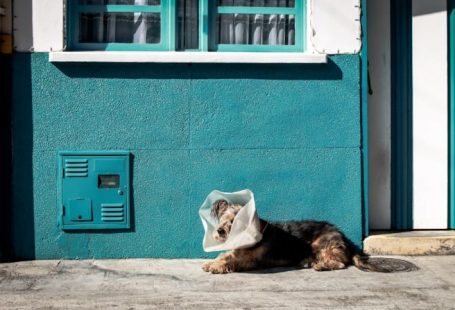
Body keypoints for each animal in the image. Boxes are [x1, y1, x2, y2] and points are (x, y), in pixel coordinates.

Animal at [203, 199, 420, 274]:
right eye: (223, 219)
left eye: (234, 222)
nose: (219, 231)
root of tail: (346, 240)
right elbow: (226, 254)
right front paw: (212, 262)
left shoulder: (248, 258)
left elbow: (231, 258)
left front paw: (215, 266)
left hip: (319, 243)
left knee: (338, 263)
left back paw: (320, 265)